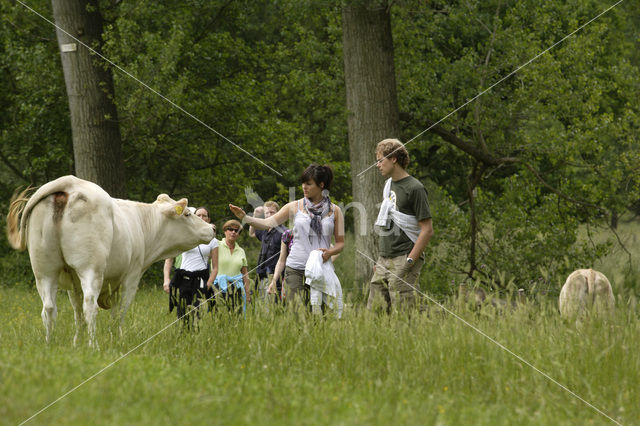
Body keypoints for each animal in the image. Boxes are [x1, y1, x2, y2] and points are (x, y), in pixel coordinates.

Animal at [6, 176, 212, 346]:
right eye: (187, 214)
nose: (212, 228)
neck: (142, 223)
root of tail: (69, 182)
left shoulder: (73, 282)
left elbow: (78, 315)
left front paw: (76, 343)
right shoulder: (131, 277)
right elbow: (118, 312)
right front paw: (116, 340)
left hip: (44, 270)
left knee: (49, 308)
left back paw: (49, 344)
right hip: (91, 268)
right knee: (90, 305)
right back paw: (93, 346)